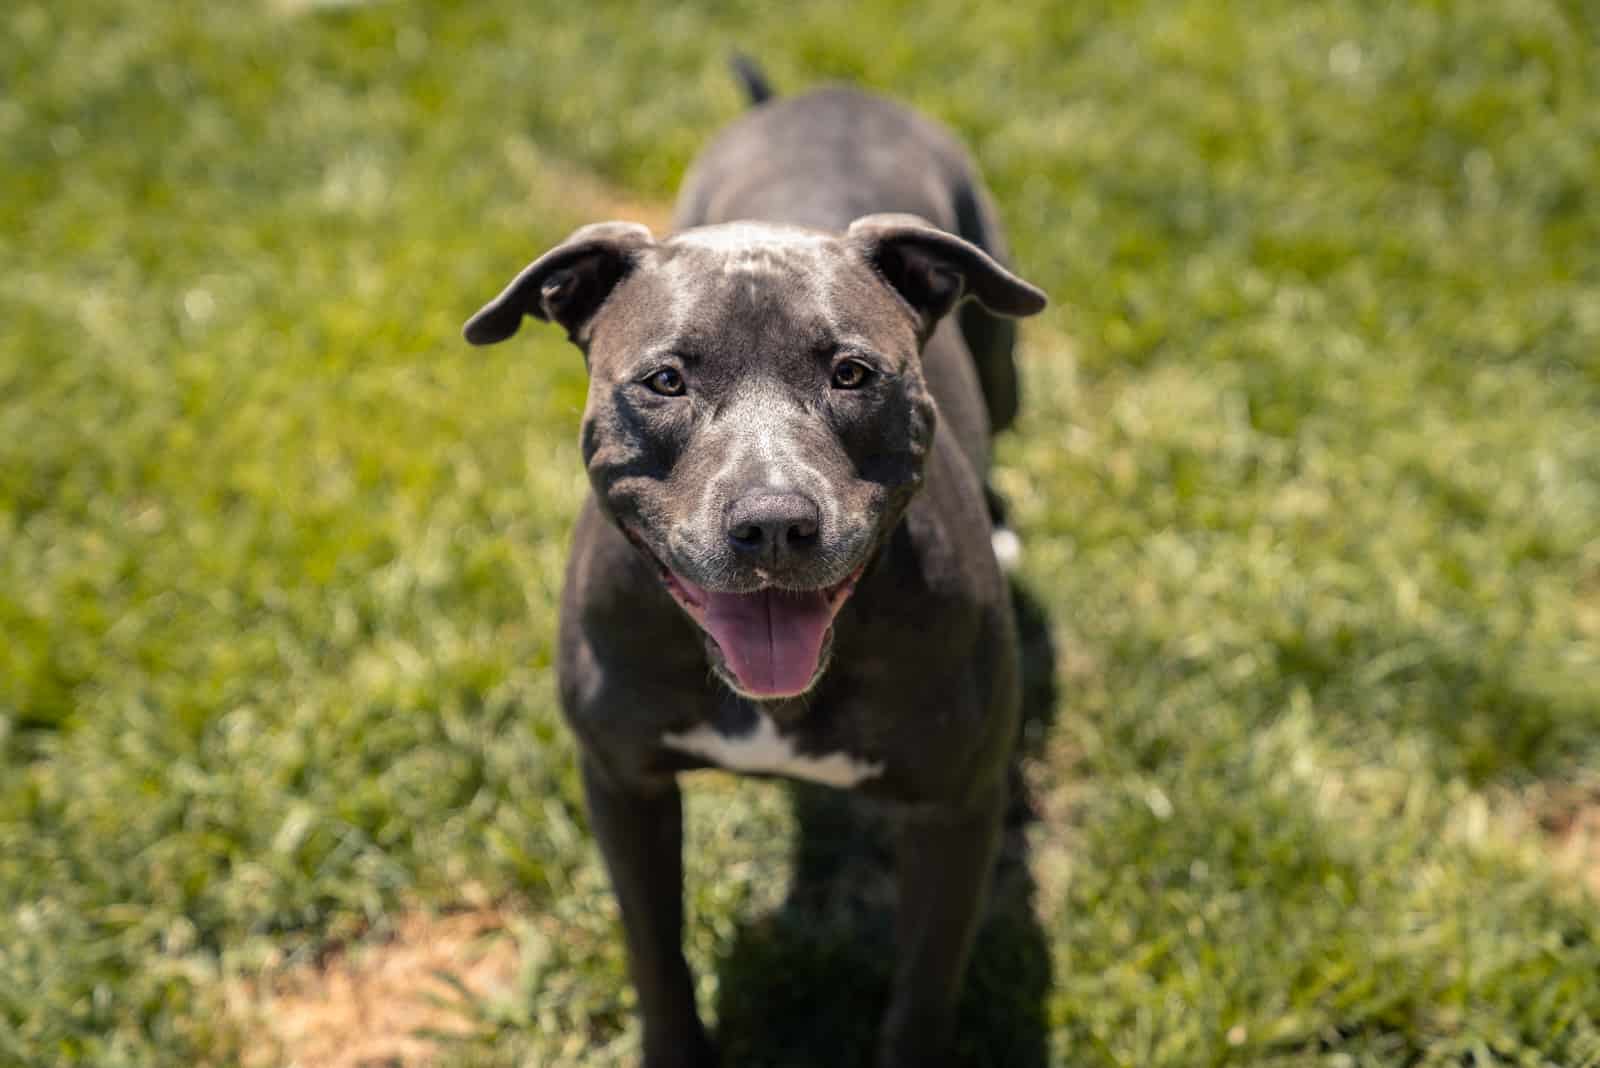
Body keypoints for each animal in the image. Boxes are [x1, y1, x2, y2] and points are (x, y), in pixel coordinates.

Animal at [460, 60, 1049, 1068]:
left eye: (852, 374)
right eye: (665, 380)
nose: (774, 525)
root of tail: (825, 93)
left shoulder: (953, 810)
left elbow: (922, 988)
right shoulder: (623, 784)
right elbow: (654, 952)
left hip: (1003, 356)